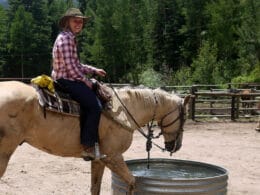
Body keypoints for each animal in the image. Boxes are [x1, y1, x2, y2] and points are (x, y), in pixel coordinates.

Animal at [0, 80, 190, 193]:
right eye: (185, 117)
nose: (177, 146)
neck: (124, 110)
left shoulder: (99, 159)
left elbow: (95, 188)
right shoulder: (114, 157)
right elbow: (131, 182)